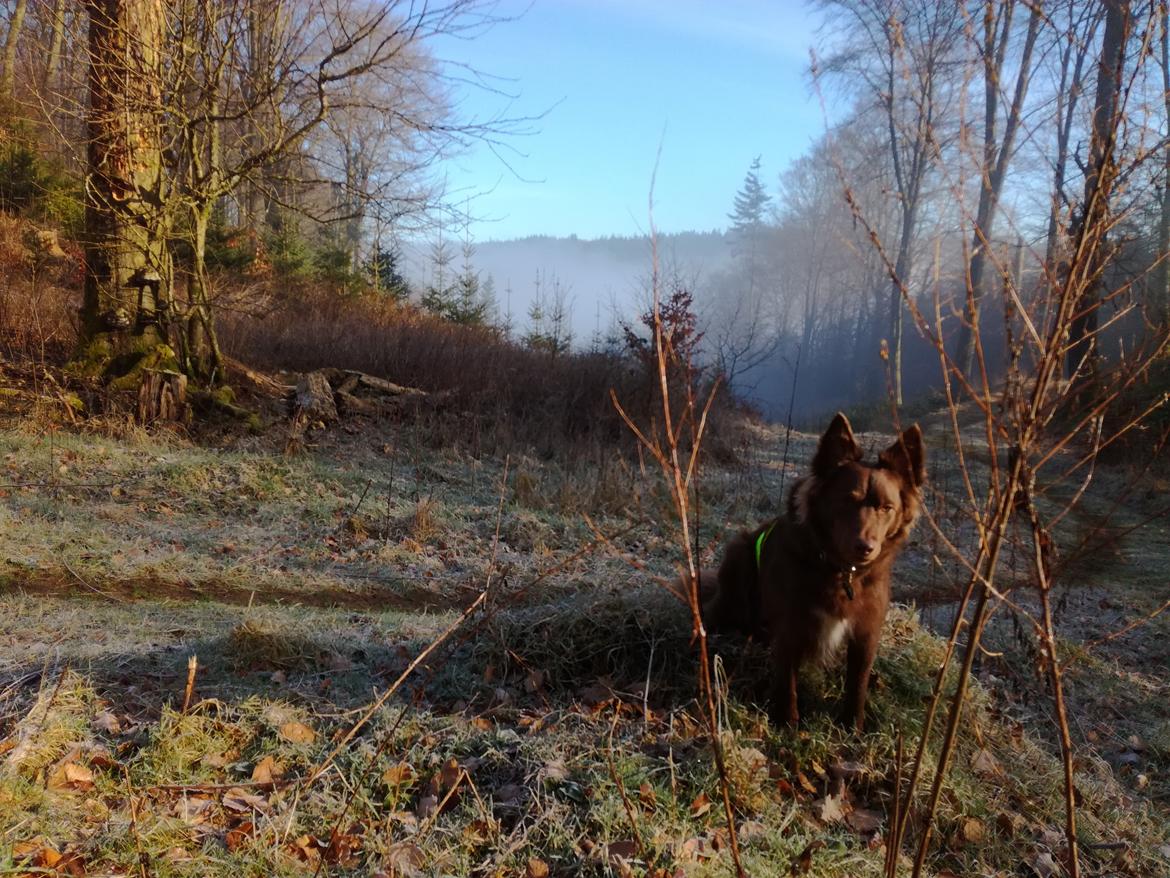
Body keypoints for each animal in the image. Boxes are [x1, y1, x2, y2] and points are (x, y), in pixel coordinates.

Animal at [702, 416, 921, 730]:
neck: (841, 572)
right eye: (846, 500)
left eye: (886, 508)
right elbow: (786, 679)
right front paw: (787, 724)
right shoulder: (789, 624)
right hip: (738, 555)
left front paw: (852, 727)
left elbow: (858, 682)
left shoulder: (866, 631)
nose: (865, 548)